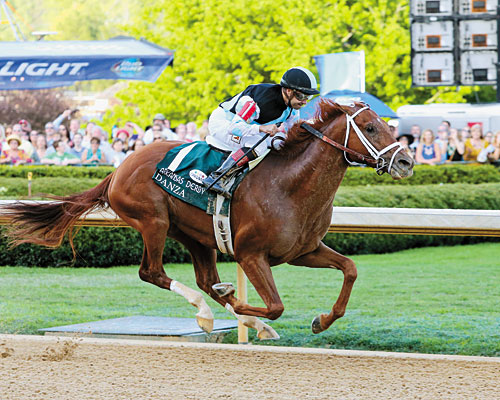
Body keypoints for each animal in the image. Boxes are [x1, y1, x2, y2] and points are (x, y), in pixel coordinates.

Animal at [1, 101, 412, 340]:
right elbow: (274, 305)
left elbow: (350, 269)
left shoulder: (303, 251)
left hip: (196, 236)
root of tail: (118, 170)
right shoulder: (251, 255)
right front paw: (238, 302)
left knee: (201, 277)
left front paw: (322, 320)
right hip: (153, 221)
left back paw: (232, 313)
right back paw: (205, 311)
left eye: (386, 125)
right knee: (152, 272)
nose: (407, 161)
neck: (290, 186)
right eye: (371, 128)